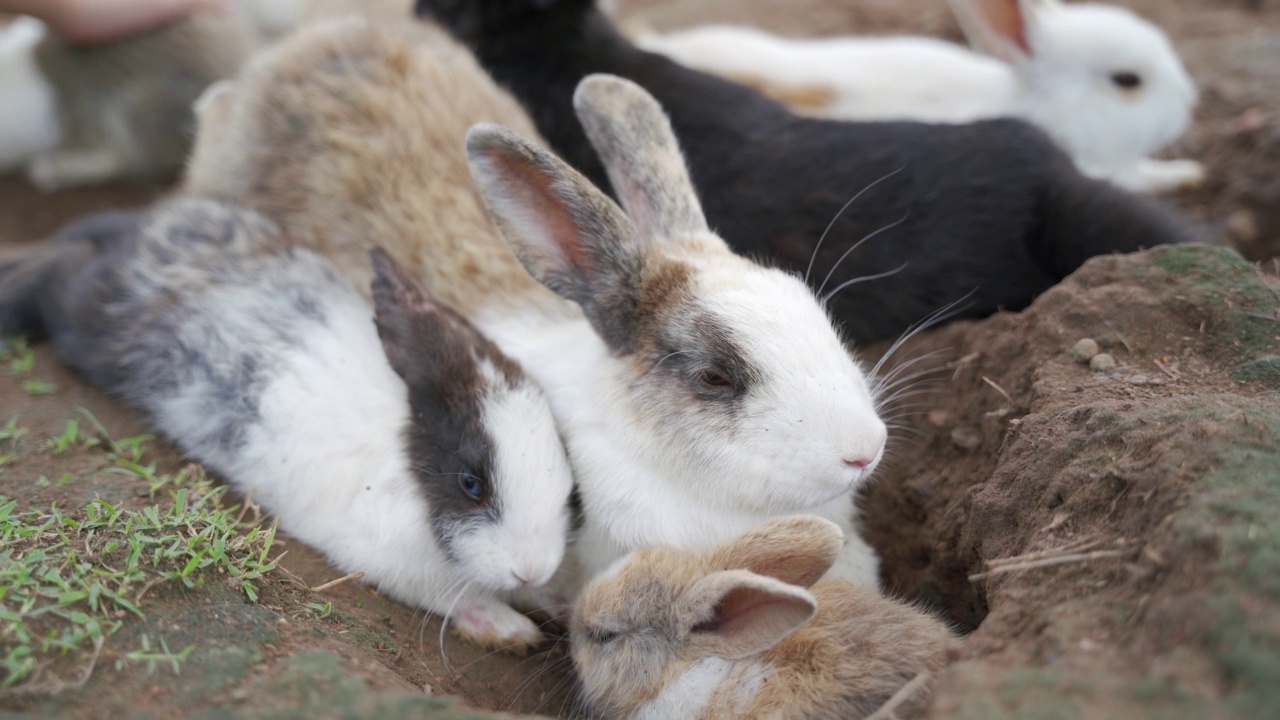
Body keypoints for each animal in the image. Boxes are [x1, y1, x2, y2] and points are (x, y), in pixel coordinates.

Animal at [0, 196, 576, 650]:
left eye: (569, 485)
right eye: (470, 483)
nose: (531, 564)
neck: (410, 461)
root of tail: (145, 231)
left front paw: (557, 601)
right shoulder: (393, 560)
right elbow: (455, 598)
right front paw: (508, 630)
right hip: (84, 312)